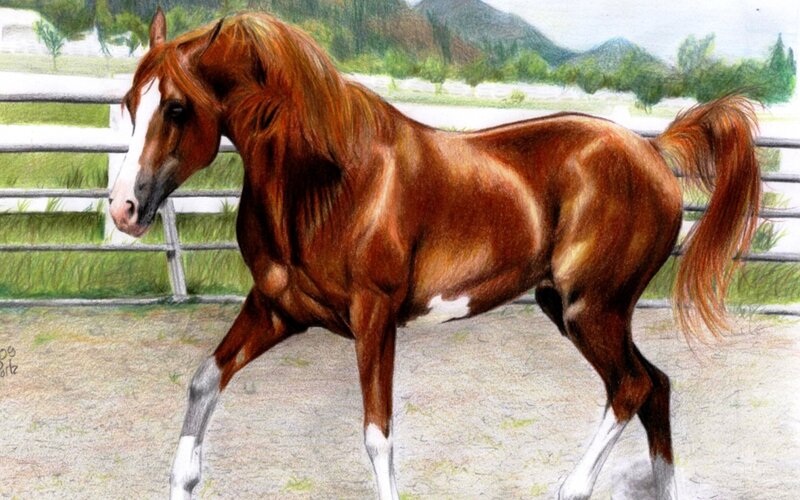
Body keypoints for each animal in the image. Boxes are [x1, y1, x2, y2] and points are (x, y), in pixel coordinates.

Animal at [108, 8, 761, 500]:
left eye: (176, 108)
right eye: (129, 101)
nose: (122, 209)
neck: (327, 182)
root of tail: (653, 149)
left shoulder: (373, 318)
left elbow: (377, 434)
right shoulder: (277, 310)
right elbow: (202, 382)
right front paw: (184, 479)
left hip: (592, 308)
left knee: (632, 388)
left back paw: (571, 487)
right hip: (575, 309)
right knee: (656, 388)